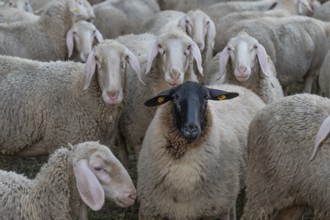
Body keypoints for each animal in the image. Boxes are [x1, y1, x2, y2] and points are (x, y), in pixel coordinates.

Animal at [116, 29, 204, 165]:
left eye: (188, 47)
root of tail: (131, 35)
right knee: (121, 142)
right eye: (160, 47)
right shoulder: (139, 136)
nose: (174, 74)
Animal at [137, 81, 266, 220]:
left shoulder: (217, 212)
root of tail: (236, 86)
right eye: (175, 97)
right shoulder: (151, 211)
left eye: (206, 98)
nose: (191, 129)